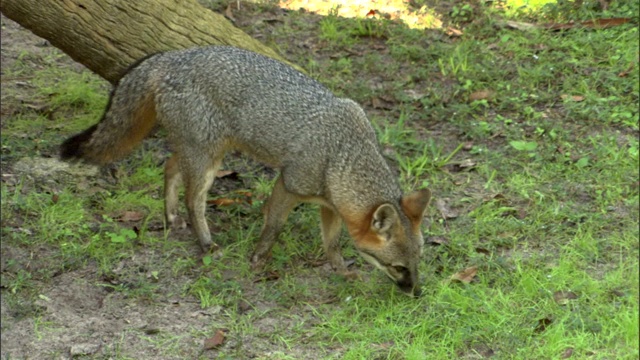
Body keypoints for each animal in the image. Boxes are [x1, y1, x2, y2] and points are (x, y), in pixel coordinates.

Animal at [60, 45, 432, 296]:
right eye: (399, 268)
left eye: (419, 262)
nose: (417, 293)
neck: (342, 153)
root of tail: (172, 56)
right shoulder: (288, 185)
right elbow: (274, 226)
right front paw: (257, 258)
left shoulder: (330, 205)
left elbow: (333, 243)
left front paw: (340, 271)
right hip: (208, 160)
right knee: (194, 199)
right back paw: (205, 242)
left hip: (203, 150)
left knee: (169, 167)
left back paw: (170, 217)